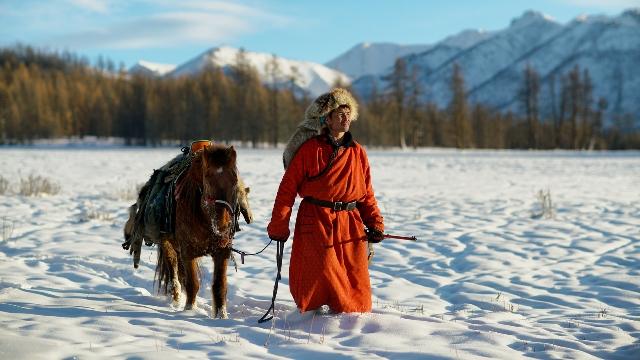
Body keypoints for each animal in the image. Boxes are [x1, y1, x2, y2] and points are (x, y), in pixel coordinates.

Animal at [156, 143, 241, 318]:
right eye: (207, 177)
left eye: (235, 179)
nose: (223, 225)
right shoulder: (188, 252)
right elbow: (192, 283)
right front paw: (189, 310)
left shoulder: (222, 251)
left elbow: (219, 285)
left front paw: (221, 316)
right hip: (167, 243)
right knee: (174, 270)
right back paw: (176, 299)